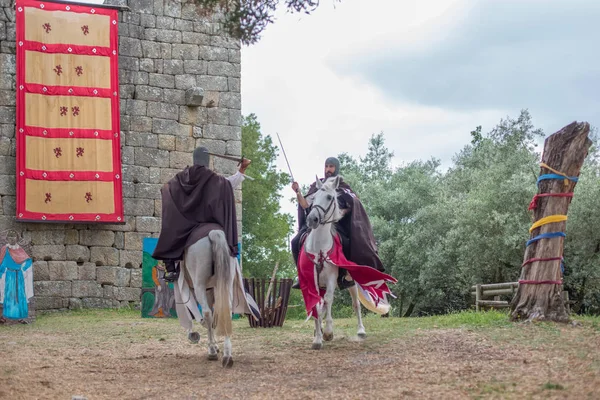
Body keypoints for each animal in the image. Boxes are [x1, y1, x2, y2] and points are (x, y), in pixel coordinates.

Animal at [172, 230, 258, 368]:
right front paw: (216, 345)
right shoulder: (210, 290)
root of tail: (213, 233)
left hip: (199, 285)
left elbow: (193, 311)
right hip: (225, 283)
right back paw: (227, 355)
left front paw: (194, 335)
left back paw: (212, 351)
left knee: (207, 313)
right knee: (225, 311)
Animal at [298, 177, 396, 348]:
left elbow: (329, 300)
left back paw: (361, 331)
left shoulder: (331, 278)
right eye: (313, 197)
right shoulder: (311, 280)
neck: (319, 248)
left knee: (355, 304)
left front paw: (328, 332)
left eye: (329, 197)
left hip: (351, 282)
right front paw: (317, 338)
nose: (312, 219)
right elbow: (317, 305)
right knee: (322, 306)